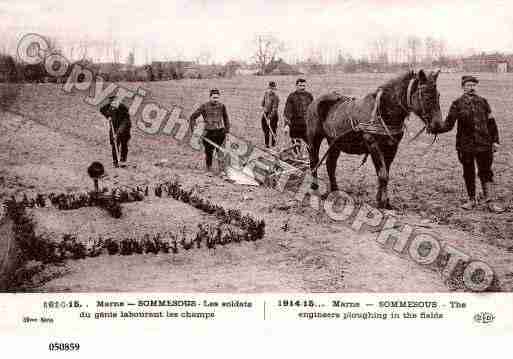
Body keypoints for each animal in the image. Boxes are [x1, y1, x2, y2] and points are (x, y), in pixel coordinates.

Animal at [306, 70, 442, 210]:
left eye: (438, 95)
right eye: (426, 96)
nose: (438, 125)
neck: (383, 111)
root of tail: (315, 101)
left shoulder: (391, 147)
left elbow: (384, 173)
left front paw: (383, 201)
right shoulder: (373, 145)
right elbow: (382, 174)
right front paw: (382, 202)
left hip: (335, 142)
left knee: (330, 164)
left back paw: (335, 192)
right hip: (314, 139)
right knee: (314, 161)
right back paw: (315, 188)